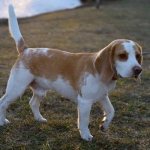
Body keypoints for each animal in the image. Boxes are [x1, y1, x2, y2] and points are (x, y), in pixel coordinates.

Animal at [0, 4, 143, 141]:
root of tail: (26, 50)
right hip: (16, 89)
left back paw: (39, 118)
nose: (138, 70)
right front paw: (86, 136)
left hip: (40, 90)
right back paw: (3, 121)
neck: (98, 69)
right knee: (3, 102)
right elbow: (84, 121)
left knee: (32, 103)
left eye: (137, 56)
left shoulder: (103, 96)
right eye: (122, 55)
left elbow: (111, 111)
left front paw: (104, 125)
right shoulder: (85, 102)